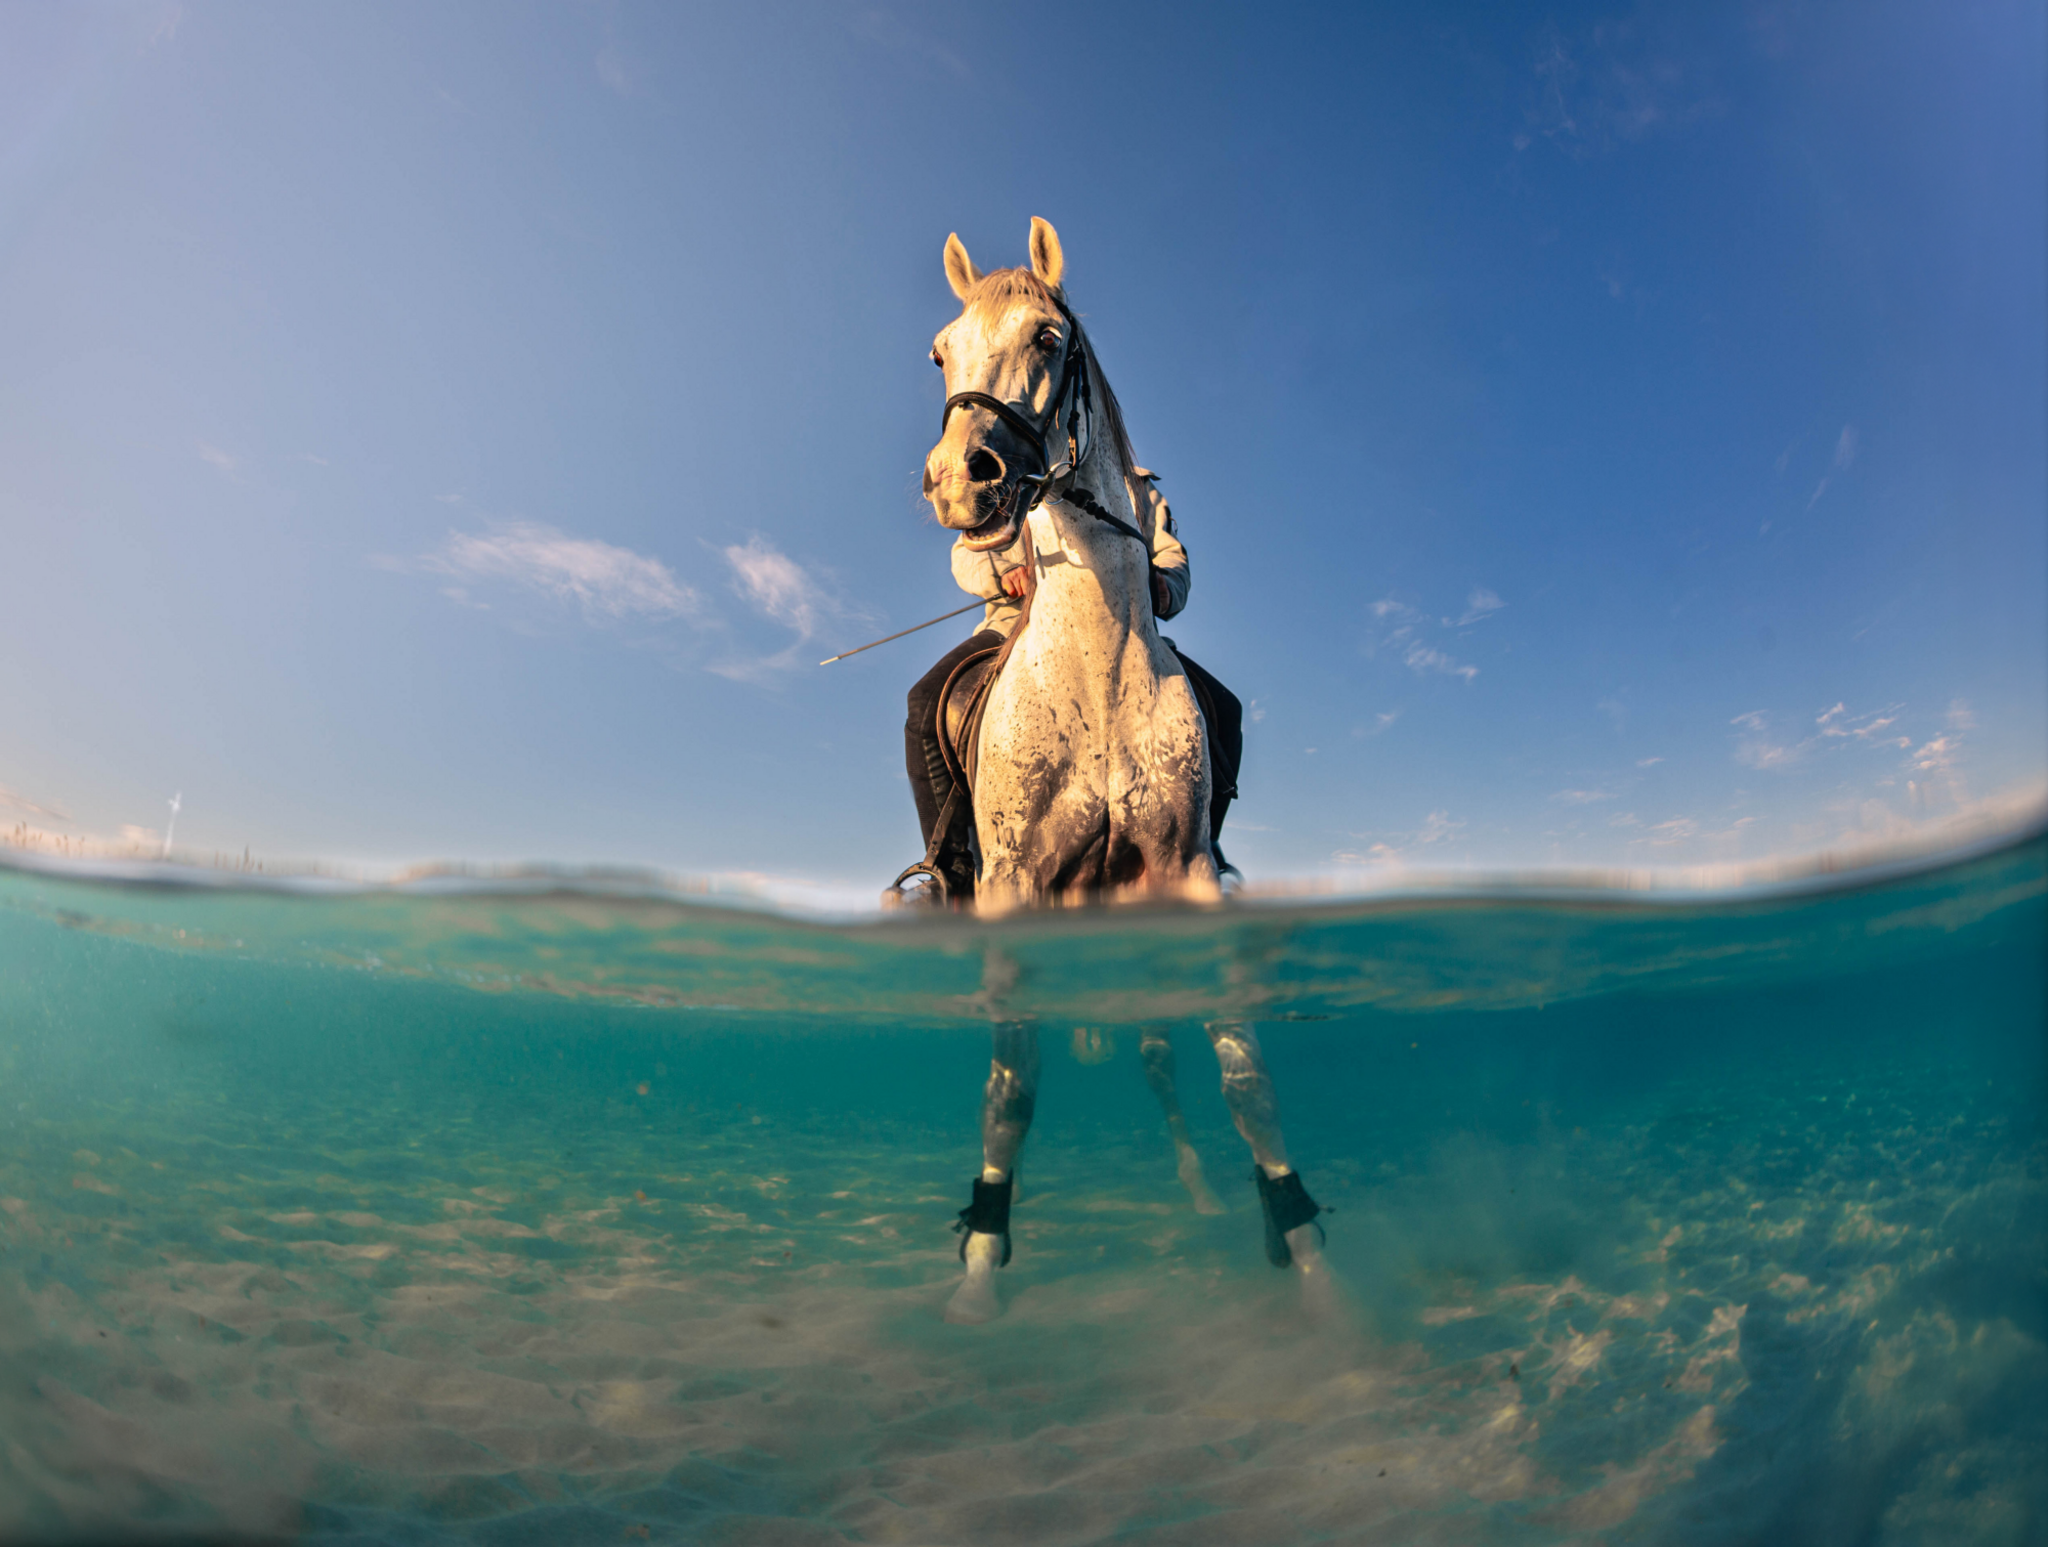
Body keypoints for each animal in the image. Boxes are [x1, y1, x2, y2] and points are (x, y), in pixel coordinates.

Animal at [919, 218, 1331, 1323]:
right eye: (939, 352)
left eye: (1048, 336)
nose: (961, 477)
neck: (1092, 669)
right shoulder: (1013, 886)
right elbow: (1011, 1082)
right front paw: (981, 1262)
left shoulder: (1183, 873)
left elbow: (1243, 1073)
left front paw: (1301, 1241)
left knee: (1154, 1052)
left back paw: (1199, 1193)